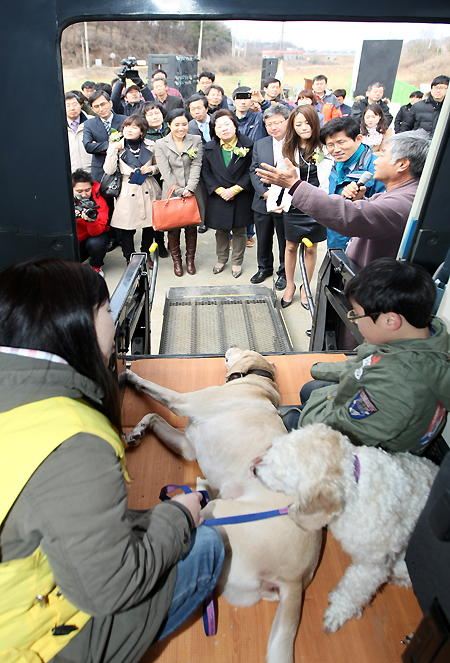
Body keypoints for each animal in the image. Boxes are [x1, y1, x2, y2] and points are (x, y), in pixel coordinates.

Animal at [255, 426, 438, 632]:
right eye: (272, 448)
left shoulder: (372, 564)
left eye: (278, 474)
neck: (356, 484)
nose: (254, 469)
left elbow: (353, 589)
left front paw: (337, 613)